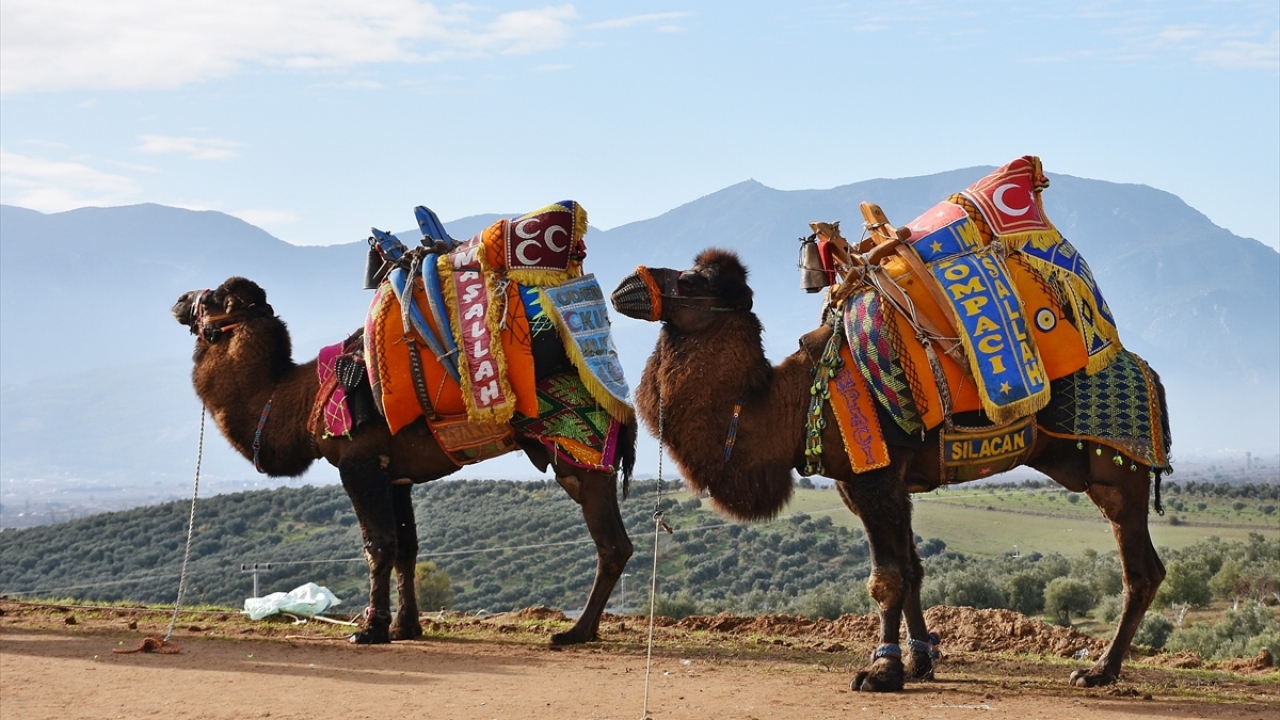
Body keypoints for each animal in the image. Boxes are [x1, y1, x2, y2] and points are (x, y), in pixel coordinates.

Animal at [174, 277, 634, 645]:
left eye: (212, 298)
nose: (179, 300)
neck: (296, 400)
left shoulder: (359, 463)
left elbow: (379, 545)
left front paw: (370, 629)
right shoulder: (395, 476)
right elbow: (407, 548)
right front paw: (405, 627)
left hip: (580, 451)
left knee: (612, 545)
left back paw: (574, 633)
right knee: (617, 544)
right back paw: (585, 630)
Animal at [611, 248, 1168, 692]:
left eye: (691, 280)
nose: (625, 286)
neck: (791, 404)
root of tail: (1149, 374)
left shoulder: (874, 476)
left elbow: (887, 579)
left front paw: (881, 672)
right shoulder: (868, 485)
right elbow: (913, 570)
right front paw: (919, 662)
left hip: (1119, 473)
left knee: (1140, 571)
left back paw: (1099, 671)